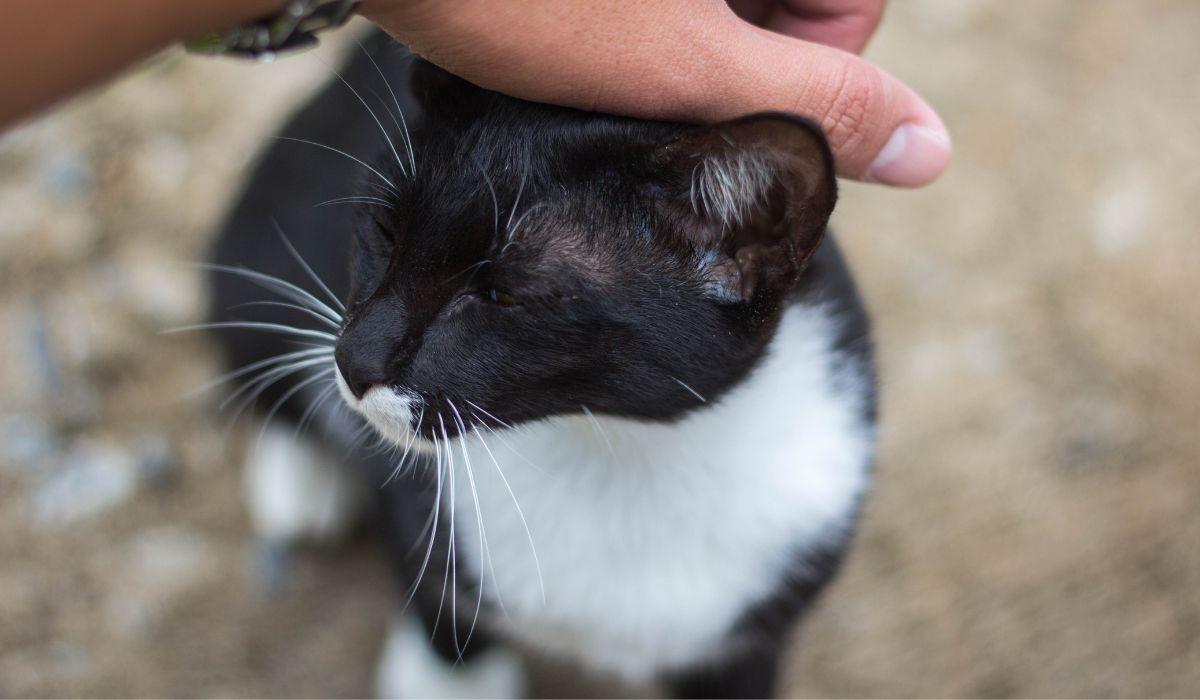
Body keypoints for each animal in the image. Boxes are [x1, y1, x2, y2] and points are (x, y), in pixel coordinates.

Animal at [206, 34, 878, 700]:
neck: (616, 450)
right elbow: (440, 599)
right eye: (384, 228)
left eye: (503, 294)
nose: (354, 360)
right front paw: (447, 679)